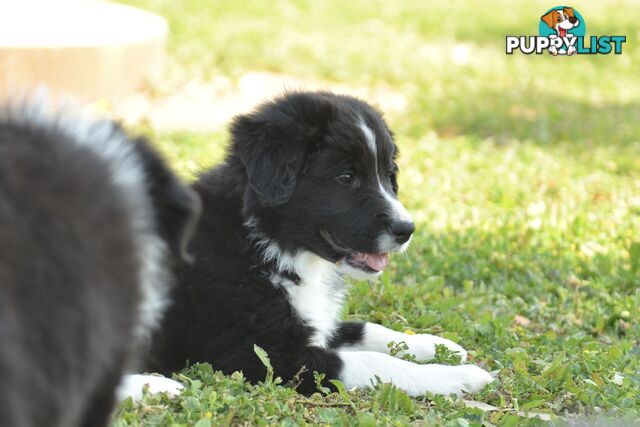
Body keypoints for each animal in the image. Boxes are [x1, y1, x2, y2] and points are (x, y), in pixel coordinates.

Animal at [146, 91, 496, 398]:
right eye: (346, 178)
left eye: (389, 175)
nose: (406, 229)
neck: (265, 242)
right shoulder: (258, 353)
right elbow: (371, 362)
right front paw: (456, 377)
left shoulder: (311, 323)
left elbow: (365, 328)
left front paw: (437, 345)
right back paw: (157, 387)